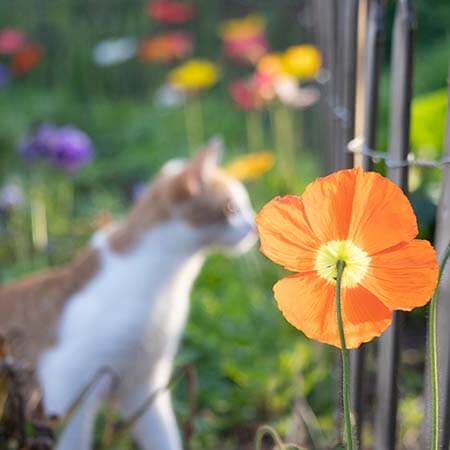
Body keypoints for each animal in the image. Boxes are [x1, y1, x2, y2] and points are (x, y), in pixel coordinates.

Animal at [0, 138, 256, 450]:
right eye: (232, 208)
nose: (254, 227)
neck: (165, 286)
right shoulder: (67, 383)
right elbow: (72, 440)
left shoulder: (144, 385)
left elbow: (165, 439)